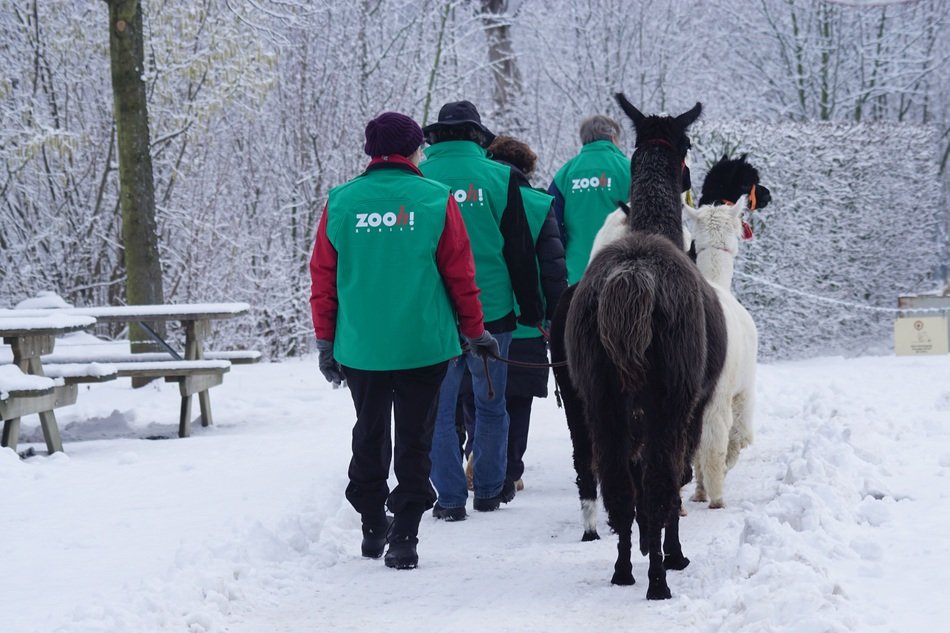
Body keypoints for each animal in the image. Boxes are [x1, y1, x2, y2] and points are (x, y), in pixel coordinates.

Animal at [561, 95, 726, 599]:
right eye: (687, 143)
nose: (692, 180)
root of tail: (631, 281)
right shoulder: (695, 402)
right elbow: (678, 478)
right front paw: (671, 553)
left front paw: (645, 550)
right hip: (667, 394)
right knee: (658, 484)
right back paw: (658, 579)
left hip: (599, 395)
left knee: (616, 484)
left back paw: (622, 569)